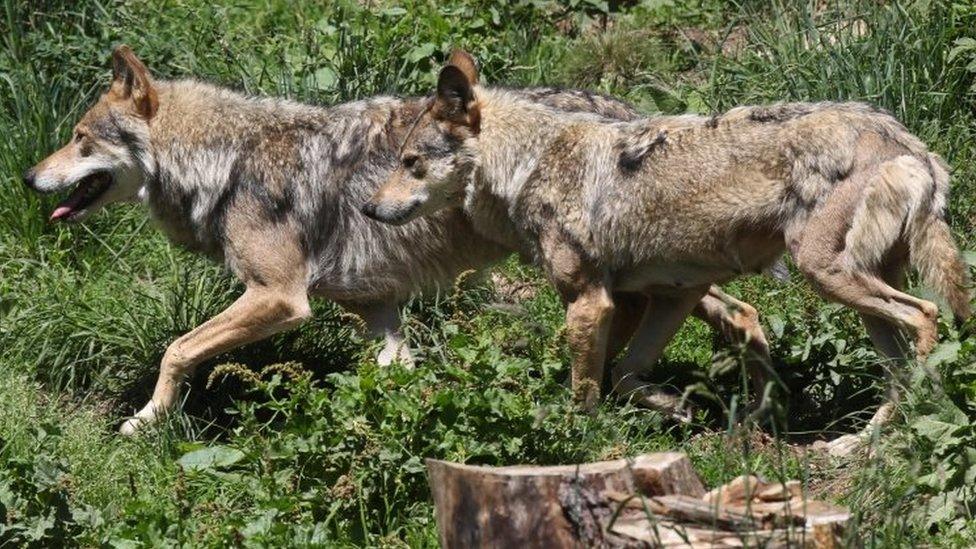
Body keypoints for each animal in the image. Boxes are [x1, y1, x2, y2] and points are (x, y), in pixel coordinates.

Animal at [24, 46, 772, 432]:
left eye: (81, 138)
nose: (29, 175)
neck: (226, 162)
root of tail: (626, 109)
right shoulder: (379, 311)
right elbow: (393, 377)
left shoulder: (279, 297)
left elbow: (177, 350)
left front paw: (145, 420)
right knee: (738, 315)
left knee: (730, 311)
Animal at [362, 52, 972, 454]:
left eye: (412, 163)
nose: (368, 208)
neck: (528, 166)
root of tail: (905, 139)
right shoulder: (666, 296)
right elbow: (623, 375)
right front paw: (677, 406)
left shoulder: (590, 303)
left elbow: (586, 390)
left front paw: (577, 443)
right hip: (855, 294)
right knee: (898, 361)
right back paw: (861, 439)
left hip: (827, 275)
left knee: (927, 316)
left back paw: (913, 413)